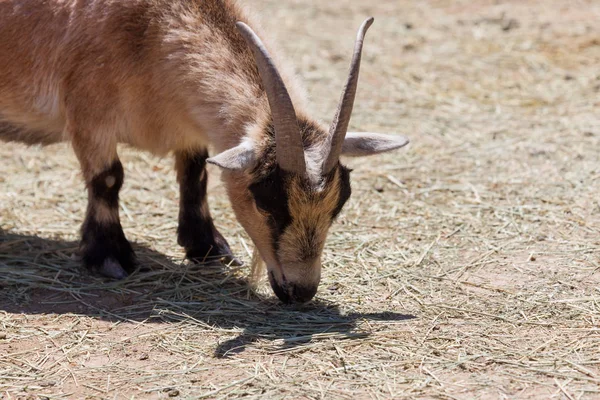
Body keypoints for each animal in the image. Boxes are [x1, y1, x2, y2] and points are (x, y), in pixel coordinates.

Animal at [0, 0, 408, 304]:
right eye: (266, 200)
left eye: (339, 203)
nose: (302, 291)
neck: (150, 32)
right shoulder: (89, 116)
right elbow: (109, 178)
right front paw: (110, 257)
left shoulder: (187, 128)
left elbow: (195, 172)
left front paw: (207, 247)